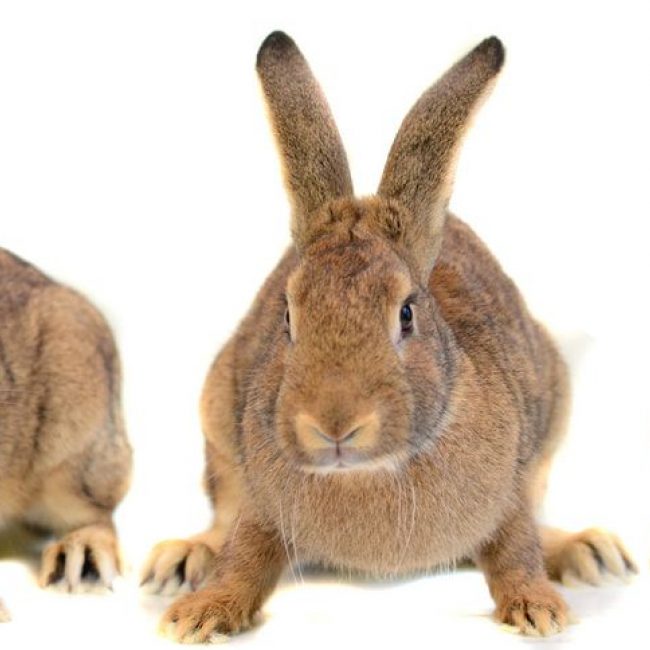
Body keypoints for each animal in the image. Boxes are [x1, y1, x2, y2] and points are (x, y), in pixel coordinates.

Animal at [141, 32, 637, 641]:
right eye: (288, 316)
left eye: (406, 314)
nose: (333, 425)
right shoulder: (260, 504)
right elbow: (245, 555)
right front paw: (197, 615)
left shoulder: (510, 493)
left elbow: (516, 547)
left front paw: (538, 610)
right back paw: (181, 560)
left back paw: (591, 552)